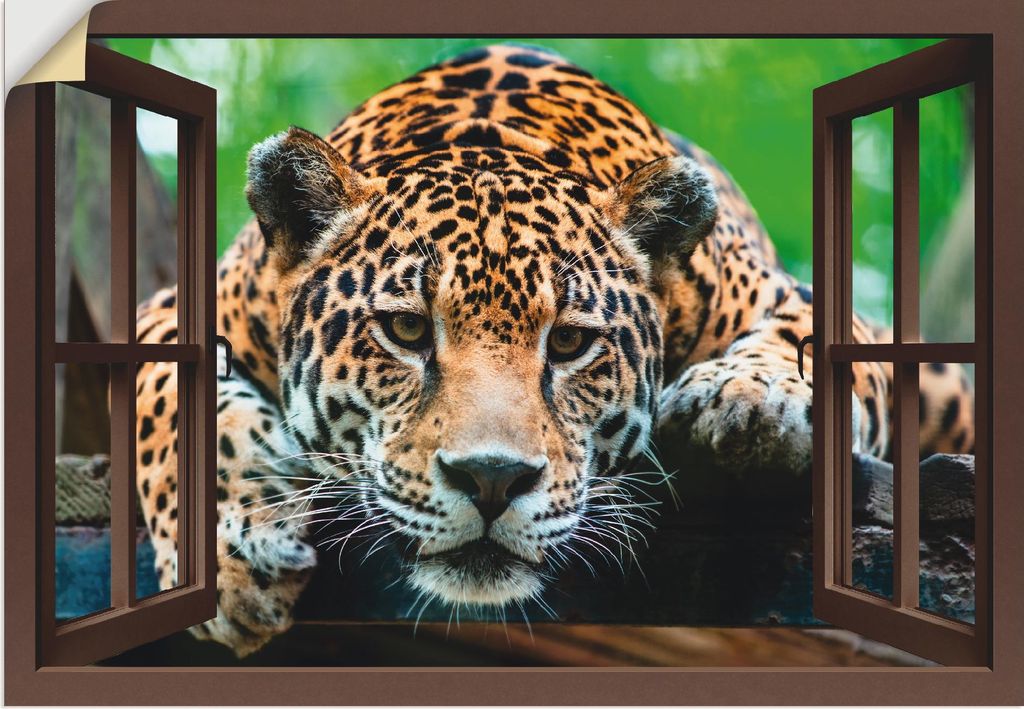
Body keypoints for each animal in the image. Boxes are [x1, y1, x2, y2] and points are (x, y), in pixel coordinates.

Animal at [133, 44, 975, 656]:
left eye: (570, 342)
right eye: (406, 331)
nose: (491, 479)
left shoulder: (788, 295)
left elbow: (809, 346)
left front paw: (746, 398)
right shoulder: (180, 303)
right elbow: (170, 399)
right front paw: (232, 554)